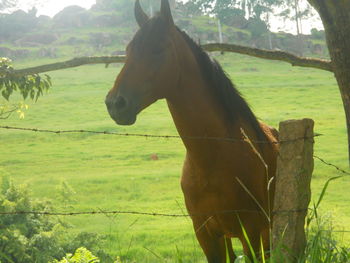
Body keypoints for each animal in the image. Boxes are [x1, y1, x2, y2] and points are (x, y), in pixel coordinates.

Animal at [105, 1, 278, 262]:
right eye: (128, 50)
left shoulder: (251, 232)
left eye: (159, 49)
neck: (213, 159)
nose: (116, 103)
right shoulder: (207, 235)